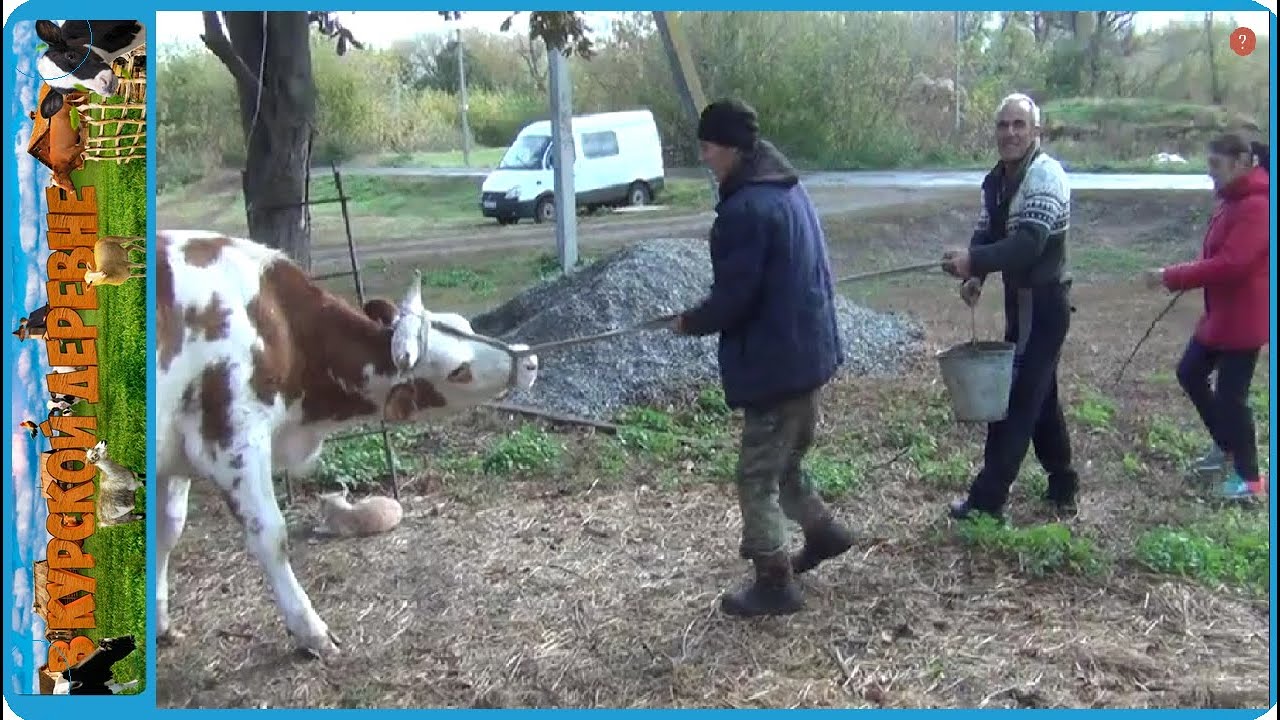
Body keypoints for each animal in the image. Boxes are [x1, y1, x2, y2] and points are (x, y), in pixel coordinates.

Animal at [155, 230, 541, 658]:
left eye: (463, 322)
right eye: (458, 371)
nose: (529, 360)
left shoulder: (174, 455)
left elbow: (167, 530)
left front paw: (160, 623)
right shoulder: (230, 439)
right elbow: (271, 536)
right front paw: (311, 631)